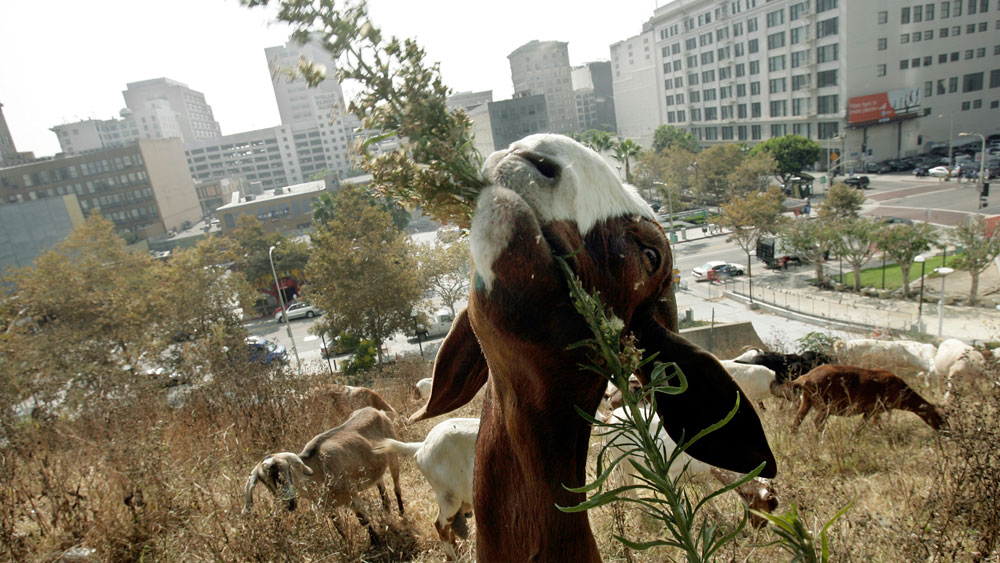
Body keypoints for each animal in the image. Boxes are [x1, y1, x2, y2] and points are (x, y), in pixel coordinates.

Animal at [243, 407, 404, 544]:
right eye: (264, 481)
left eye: (288, 469)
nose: (290, 503)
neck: (318, 471)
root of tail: (377, 411)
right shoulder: (327, 506)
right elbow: (339, 528)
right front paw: (348, 544)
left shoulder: (351, 495)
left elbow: (363, 520)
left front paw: (376, 542)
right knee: (382, 488)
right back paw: (387, 511)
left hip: (393, 455)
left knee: (396, 487)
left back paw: (401, 513)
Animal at [605, 406, 778, 528]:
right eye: (766, 503)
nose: (760, 526)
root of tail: (609, 417)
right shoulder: (673, 478)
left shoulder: (702, 480)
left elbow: (710, 499)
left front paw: (723, 519)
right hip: (625, 460)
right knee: (627, 484)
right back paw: (641, 510)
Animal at [790, 365, 945, 433]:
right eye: (939, 417)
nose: (946, 431)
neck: (901, 391)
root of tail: (804, 378)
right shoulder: (876, 408)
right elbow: (871, 424)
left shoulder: (872, 410)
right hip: (824, 405)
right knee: (817, 422)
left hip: (807, 401)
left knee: (796, 421)